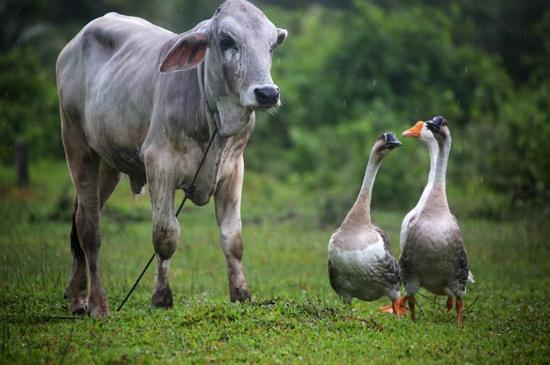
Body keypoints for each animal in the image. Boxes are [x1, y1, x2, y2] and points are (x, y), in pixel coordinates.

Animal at [56, 0, 288, 316]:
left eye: (271, 45)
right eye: (226, 41)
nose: (267, 93)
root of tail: (74, 43)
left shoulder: (233, 170)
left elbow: (233, 239)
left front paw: (241, 295)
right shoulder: (159, 164)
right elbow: (165, 235)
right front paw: (161, 297)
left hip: (107, 164)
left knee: (81, 217)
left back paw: (77, 298)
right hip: (77, 144)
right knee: (90, 229)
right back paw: (98, 304)